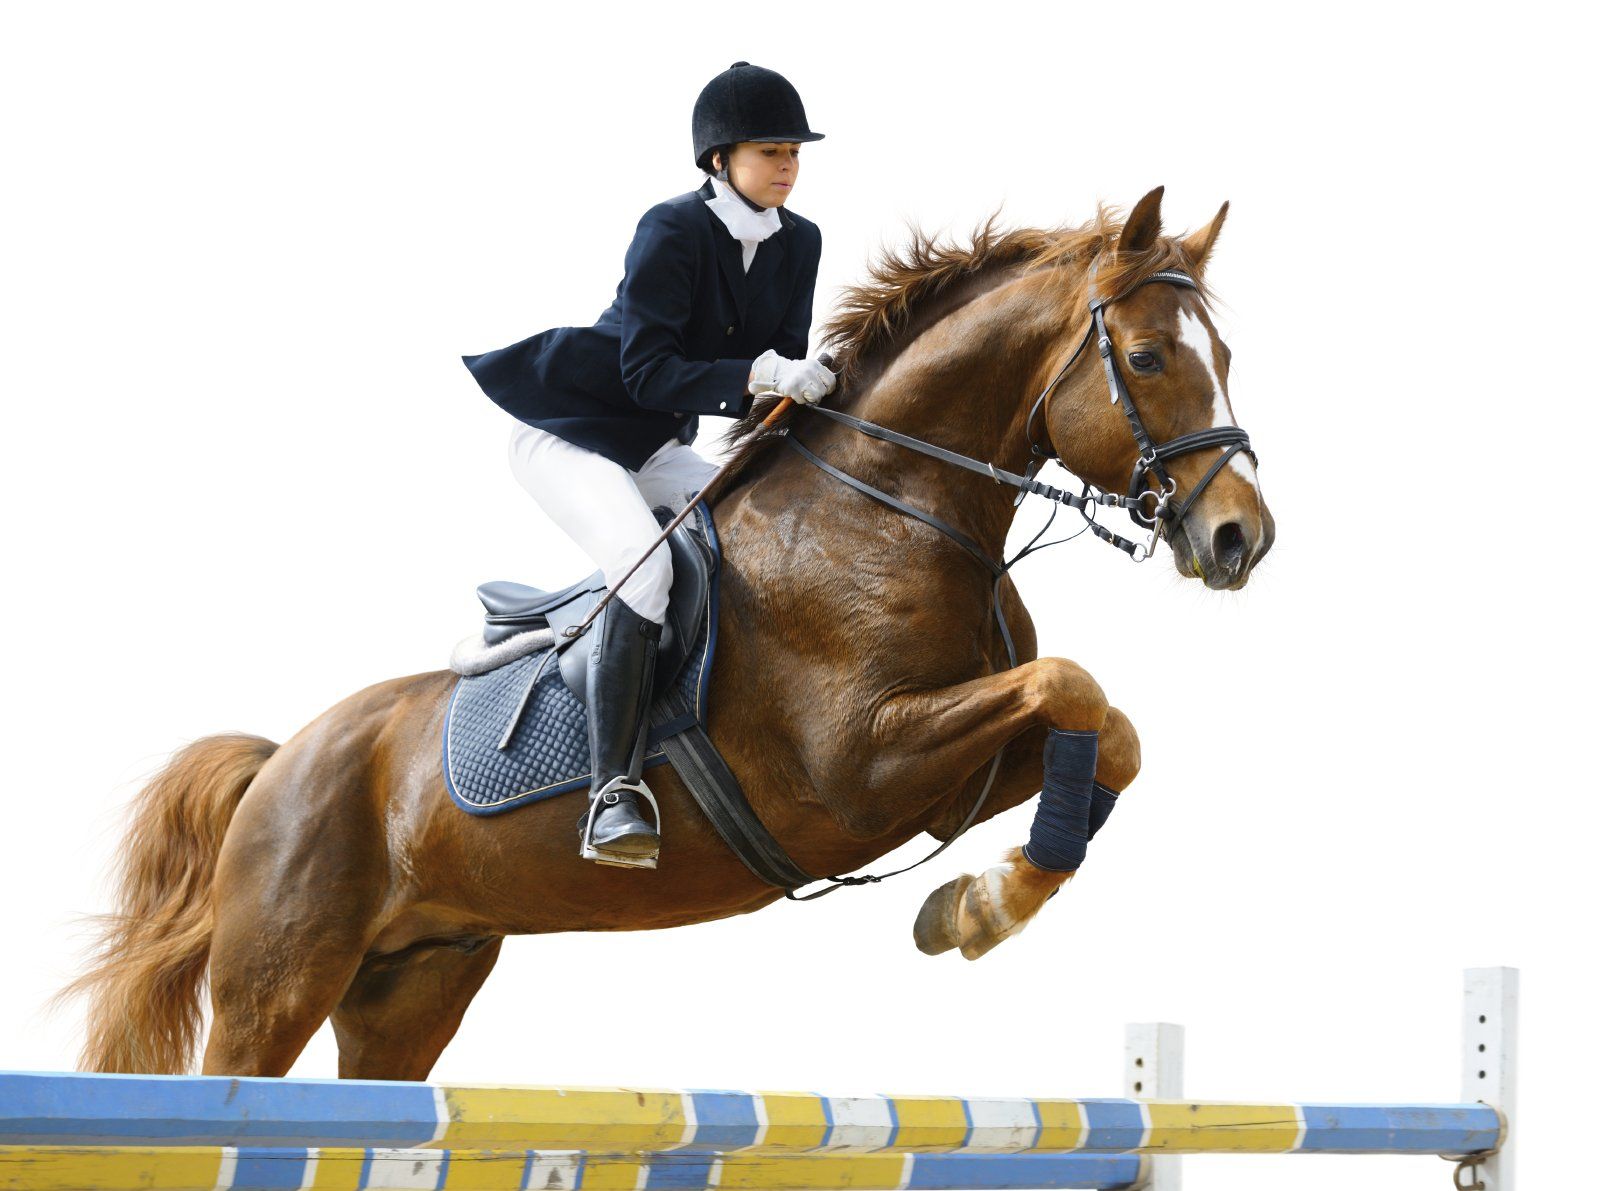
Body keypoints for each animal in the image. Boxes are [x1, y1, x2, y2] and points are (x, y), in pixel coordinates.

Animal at [59, 186, 1270, 1083]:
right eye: (1150, 360)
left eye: (1223, 356)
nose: (1240, 537)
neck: (896, 505)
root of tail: (282, 760)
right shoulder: (859, 766)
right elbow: (1072, 686)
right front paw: (986, 905)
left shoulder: (946, 777)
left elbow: (1108, 730)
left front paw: (977, 903)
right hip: (278, 980)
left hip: (413, 984)